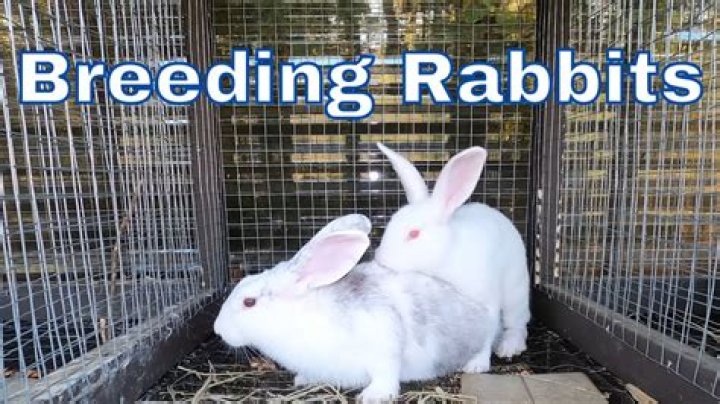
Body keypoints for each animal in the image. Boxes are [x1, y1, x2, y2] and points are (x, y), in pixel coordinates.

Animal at [214, 214, 499, 402]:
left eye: (249, 302)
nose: (217, 329)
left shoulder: (382, 339)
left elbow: (386, 372)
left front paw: (374, 395)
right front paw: (303, 380)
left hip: (482, 331)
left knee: (485, 343)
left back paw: (476, 365)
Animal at [373, 143, 530, 358]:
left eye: (414, 234)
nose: (381, 258)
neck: (447, 255)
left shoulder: (486, 301)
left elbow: (484, 337)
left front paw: (477, 363)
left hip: (515, 290)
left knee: (518, 322)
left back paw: (509, 347)